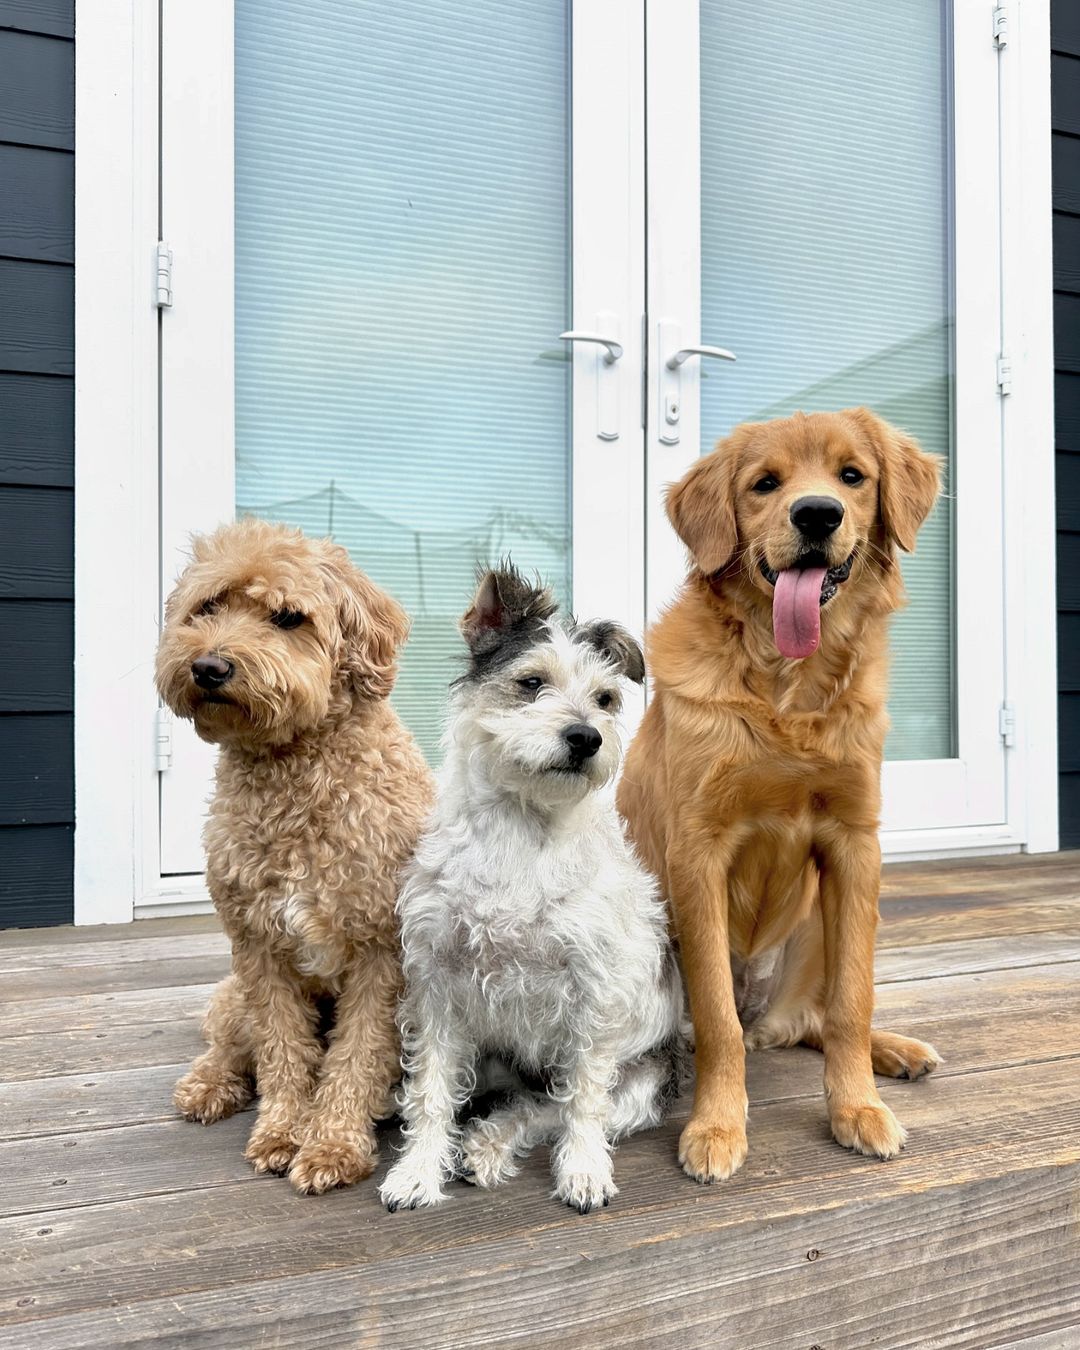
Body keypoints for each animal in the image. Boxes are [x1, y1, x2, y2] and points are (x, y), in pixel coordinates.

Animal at [155, 518, 434, 1193]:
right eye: (208, 607)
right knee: (229, 1044)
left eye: (287, 617)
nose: (208, 666)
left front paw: (332, 1143)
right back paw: (207, 1084)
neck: (293, 771)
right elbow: (282, 1049)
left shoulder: (380, 951)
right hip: (231, 993)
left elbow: (356, 1054)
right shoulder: (258, 949)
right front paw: (282, 1133)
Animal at [380, 564, 683, 1220]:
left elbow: (582, 1101)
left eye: (605, 698)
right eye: (531, 683)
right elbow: (432, 1090)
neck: (521, 830)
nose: (586, 737)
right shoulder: (437, 986)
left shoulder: (593, 991)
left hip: (640, 1081)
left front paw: (585, 1171)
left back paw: (488, 1147)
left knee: (546, 1108)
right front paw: (416, 1173)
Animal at [621, 407, 939, 1182]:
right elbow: (717, 1022)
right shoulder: (697, 853)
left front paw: (855, 1107)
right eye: (765, 484)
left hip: (825, 917)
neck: (788, 687)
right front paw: (716, 1125)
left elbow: (853, 999)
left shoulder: (855, 845)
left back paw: (895, 1052)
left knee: (816, 1021)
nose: (817, 513)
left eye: (852, 476)